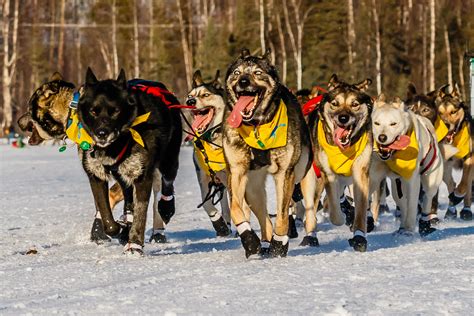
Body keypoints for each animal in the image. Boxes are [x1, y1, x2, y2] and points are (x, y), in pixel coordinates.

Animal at [370, 95, 444, 236]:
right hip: (396, 186)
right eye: (376, 123)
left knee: (427, 198)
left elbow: (412, 206)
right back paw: (402, 227)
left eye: (393, 123)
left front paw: (409, 230)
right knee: (402, 203)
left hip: (431, 179)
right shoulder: (379, 177)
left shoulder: (412, 180)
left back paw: (424, 225)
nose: (382, 137)